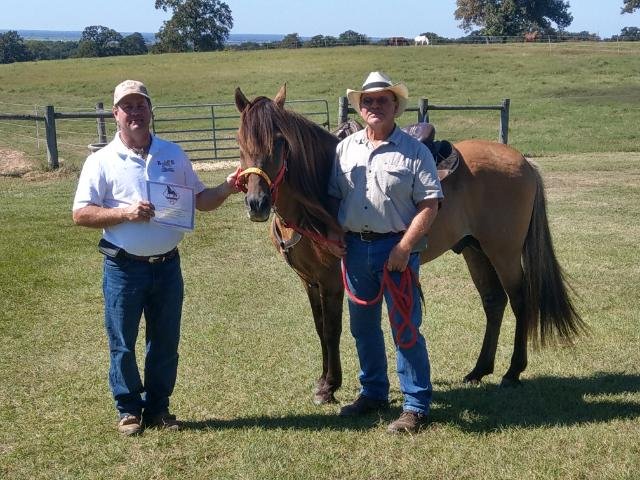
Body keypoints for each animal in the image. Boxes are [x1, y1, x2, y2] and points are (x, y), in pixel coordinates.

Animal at [235, 86, 584, 404]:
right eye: (239, 142)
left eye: (280, 141)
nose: (257, 203)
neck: (316, 197)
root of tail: (523, 162)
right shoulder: (309, 280)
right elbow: (320, 328)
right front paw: (324, 381)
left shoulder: (332, 279)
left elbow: (332, 330)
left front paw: (329, 386)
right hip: (475, 250)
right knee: (493, 301)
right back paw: (479, 370)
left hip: (504, 252)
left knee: (520, 300)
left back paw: (512, 372)